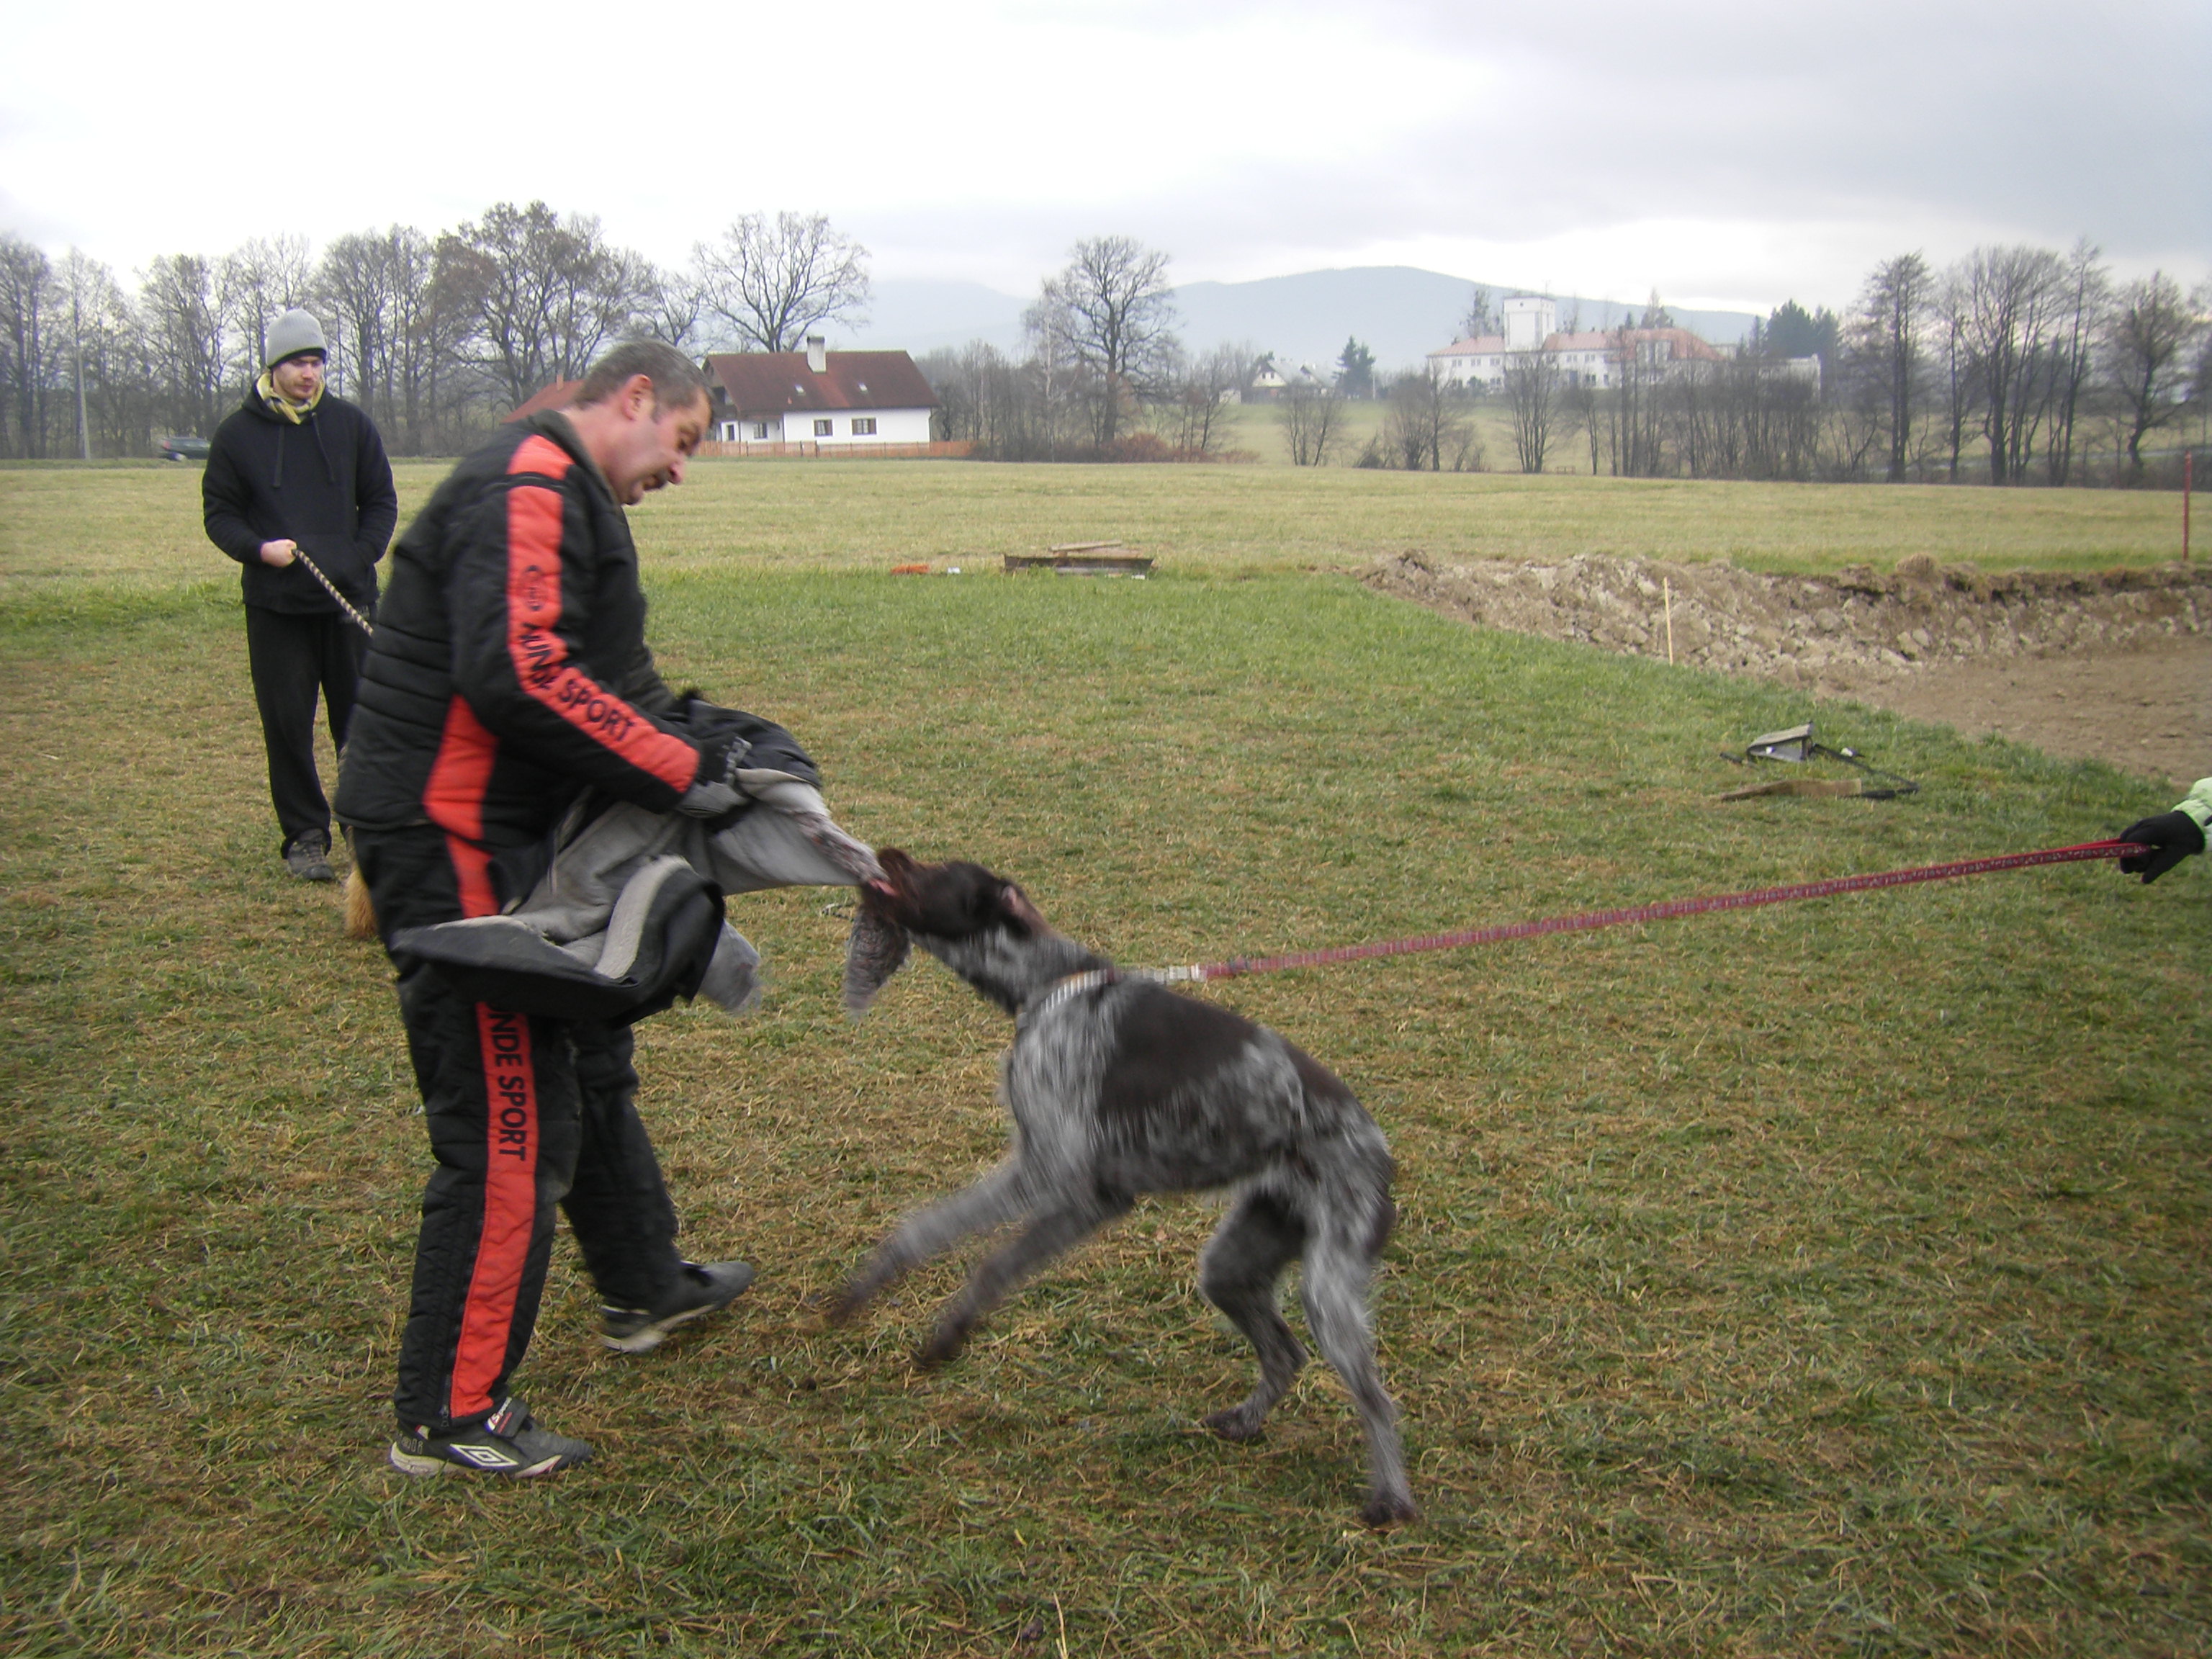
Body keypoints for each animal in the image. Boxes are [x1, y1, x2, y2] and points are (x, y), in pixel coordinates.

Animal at [832, 858, 1416, 1530]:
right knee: (1285, 1354)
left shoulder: (1075, 1190)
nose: (887, 853)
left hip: (1328, 1293)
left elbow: (990, 1264)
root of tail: (1380, 1151)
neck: (1048, 986)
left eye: (939, 871)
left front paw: (951, 1331)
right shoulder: (1040, 1174)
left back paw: (1392, 1498)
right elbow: (922, 1230)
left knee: (1377, 1400)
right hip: (1233, 1265)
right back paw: (1246, 1422)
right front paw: (867, 1291)